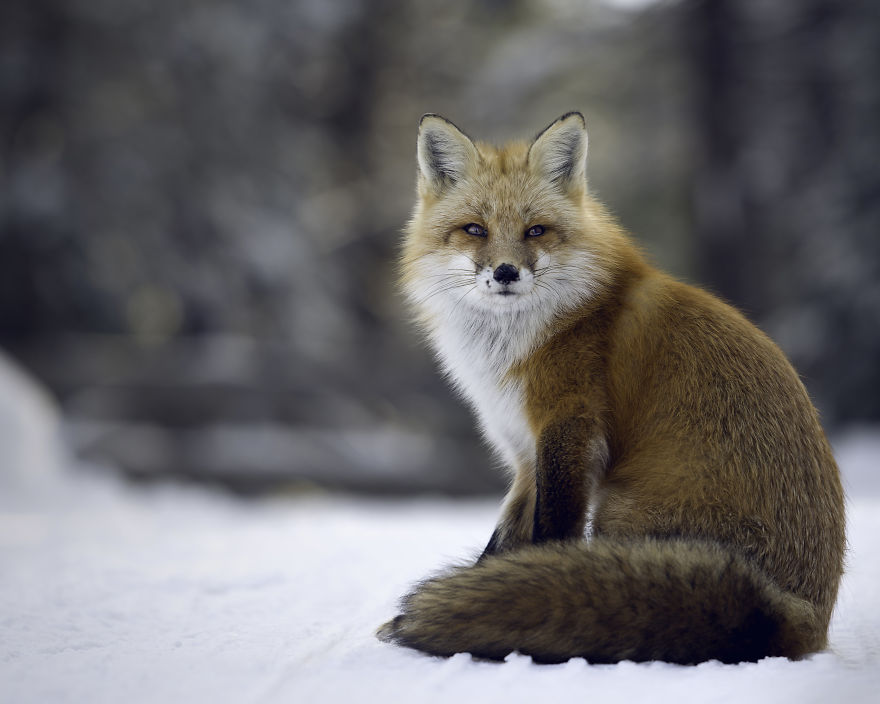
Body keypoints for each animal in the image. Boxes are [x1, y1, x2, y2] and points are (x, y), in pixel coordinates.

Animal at [377, 112, 846, 664]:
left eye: (536, 230)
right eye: (475, 229)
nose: (506, 272)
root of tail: (803, 618)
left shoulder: (570, 428)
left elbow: (549, 536)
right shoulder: (525, 453)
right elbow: (502, 543)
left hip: (618, 507)